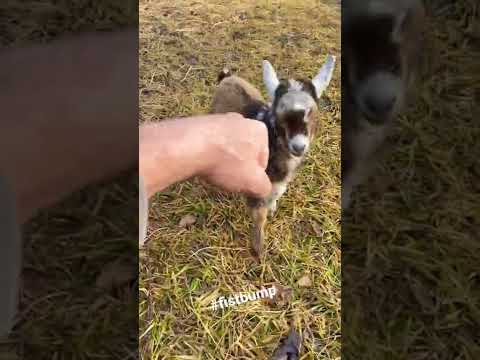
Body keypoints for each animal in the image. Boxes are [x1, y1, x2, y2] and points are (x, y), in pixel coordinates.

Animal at [212, 55, 336, 258]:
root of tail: (227, 78)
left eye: (311, 111)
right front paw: (258, 250)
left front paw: (272, 209)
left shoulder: (278, 181)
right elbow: (258, 214)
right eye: (280, 113)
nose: (298, 146)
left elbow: (275, 194)